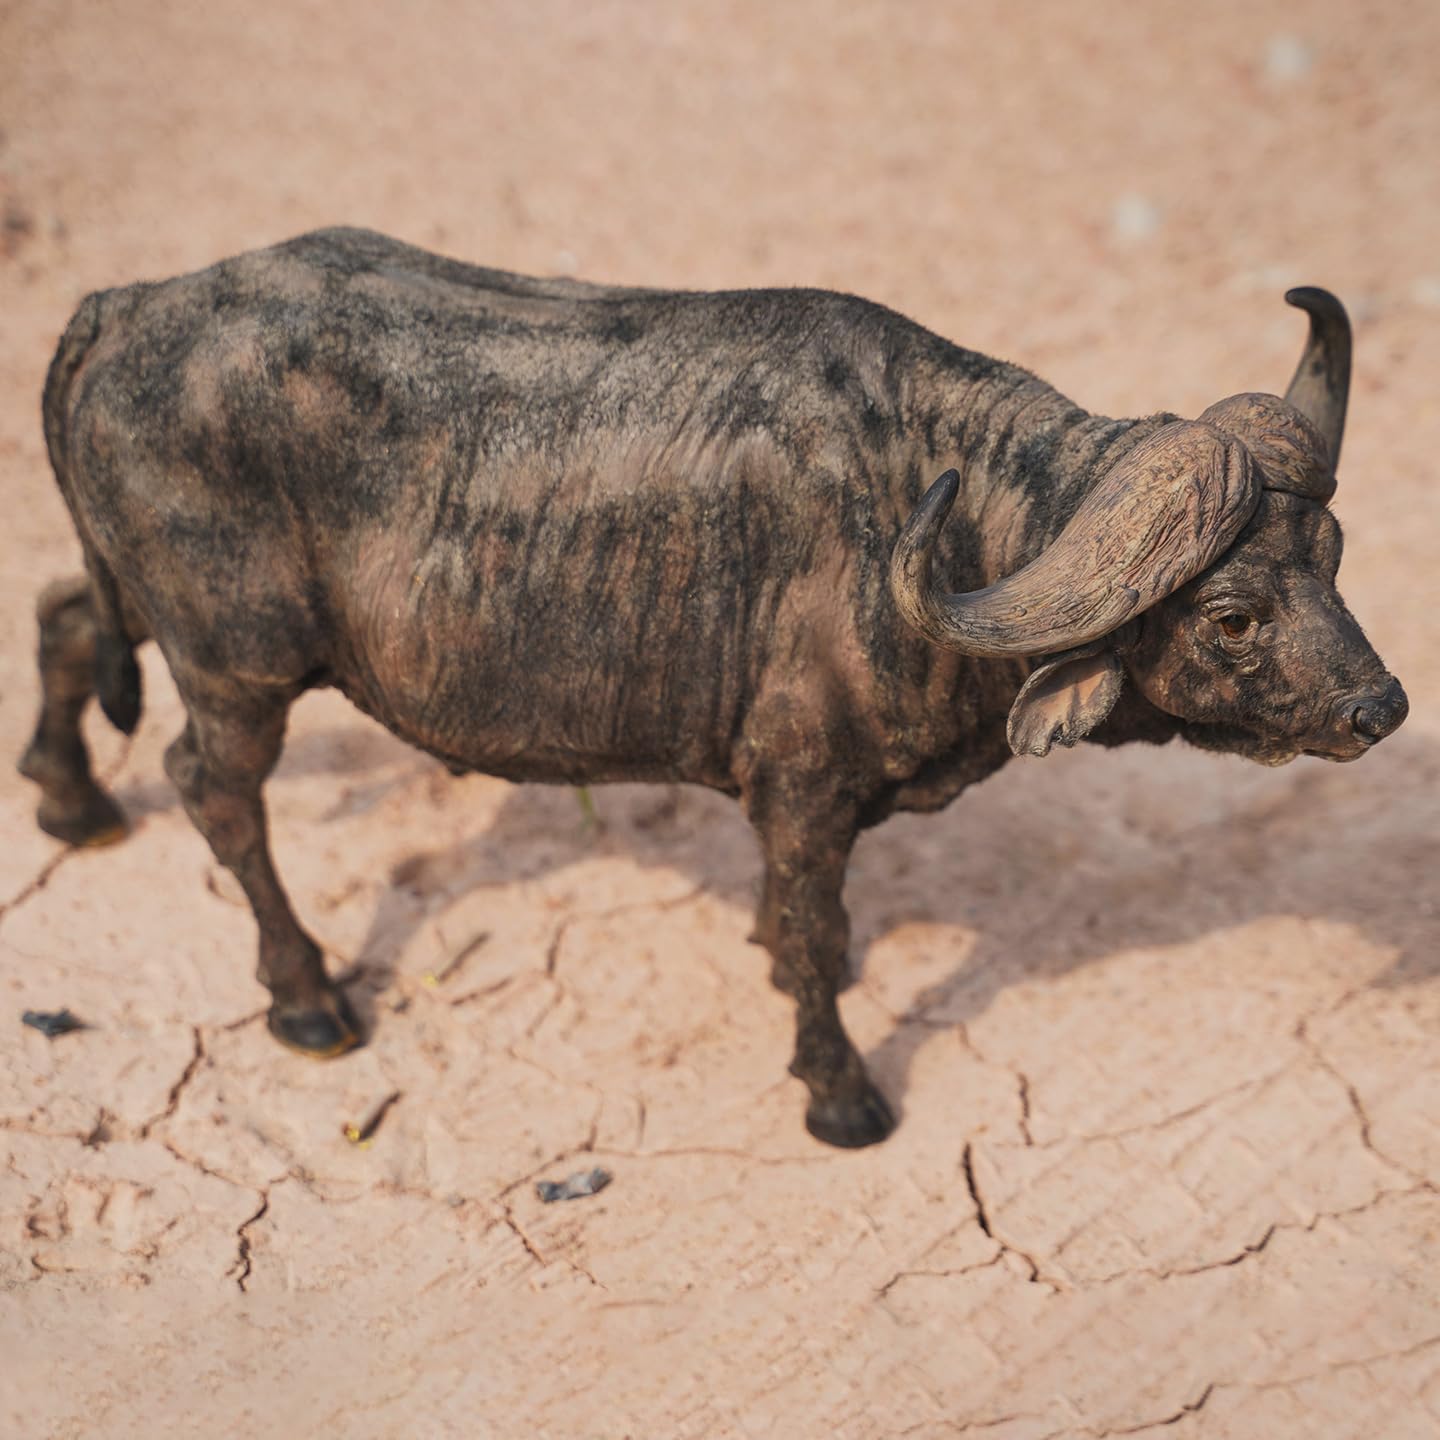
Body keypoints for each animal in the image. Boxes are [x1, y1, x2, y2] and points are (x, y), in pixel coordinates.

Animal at [19, 228, 1407, 1148]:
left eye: (1336, 557)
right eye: (1232, 615)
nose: (1380, 708)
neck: (939, 524)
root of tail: (126, 304)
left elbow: (798, 928)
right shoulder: (801, 787)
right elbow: (815, 935)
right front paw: (838, 1091)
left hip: (153, 611)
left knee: (62, 617)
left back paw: (69, 800)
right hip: (235, 662)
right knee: (214, 788)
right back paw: (307, 998)